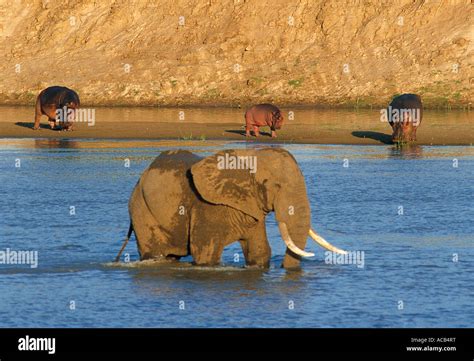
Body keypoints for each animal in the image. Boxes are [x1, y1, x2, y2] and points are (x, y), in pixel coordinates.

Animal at [117, 146, 348, 268]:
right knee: (156, 254)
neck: (249, 155)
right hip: (142, 210)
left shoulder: (251, 209)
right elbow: (206, 253)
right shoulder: (207, 205)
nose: (283, 268)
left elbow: (260, 251)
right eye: (274, 185)